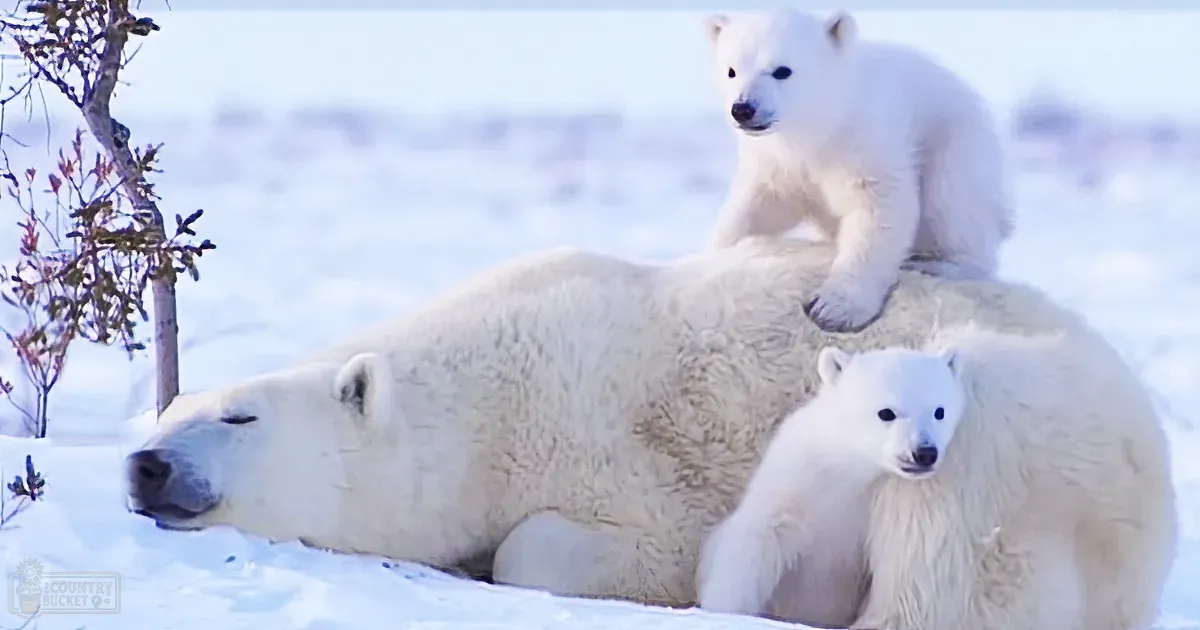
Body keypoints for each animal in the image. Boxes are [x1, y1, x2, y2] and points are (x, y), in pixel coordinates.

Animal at [696, 344, 966, 627]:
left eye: (939, 411)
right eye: (886, 412)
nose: (924, 452)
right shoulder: (794, 478)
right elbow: (756, 540)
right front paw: (721, 611)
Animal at [703, 8, 1015, 333]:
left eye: (782, 70)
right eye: (731, 70)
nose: (743, 108)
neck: (821, 127)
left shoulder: (864, 141)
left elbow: (878, 211)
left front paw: (833, 308)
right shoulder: (776, 162)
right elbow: (758, 208)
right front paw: (720, 251)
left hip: (959, 147)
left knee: (954, 204)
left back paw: (939, 263)